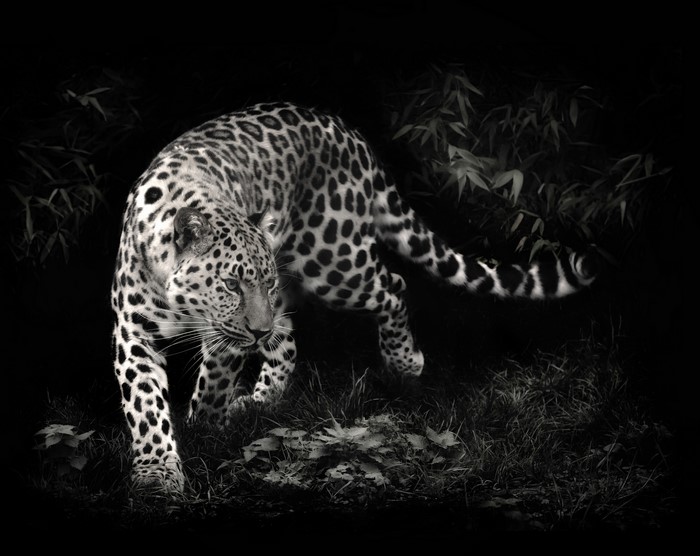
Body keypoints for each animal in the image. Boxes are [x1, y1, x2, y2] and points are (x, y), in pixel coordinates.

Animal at [111, 101, 597, 494]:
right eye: (232, 284)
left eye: (262, 283)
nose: (257, 331)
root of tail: (350, 133)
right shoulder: (133, 333)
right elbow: (146, 406)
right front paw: (157, 472)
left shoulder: (227, 334)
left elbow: (213, 381)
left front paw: (205, 428)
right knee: (288, 335)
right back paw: (263, 398)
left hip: (333, 262)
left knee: (391, 286)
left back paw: (404, 363)